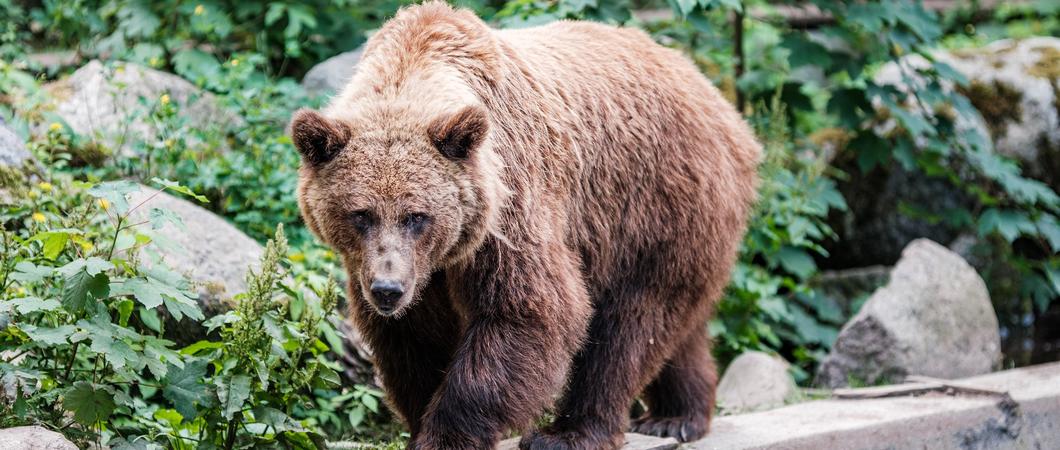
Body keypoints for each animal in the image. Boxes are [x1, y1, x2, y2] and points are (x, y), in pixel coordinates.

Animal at [294, 1, 763, 446]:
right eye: (360, 214)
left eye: (416, 216)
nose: (388, 289)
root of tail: (724, 107)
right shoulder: (409, 267)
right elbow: (413, 339)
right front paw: (421, 422)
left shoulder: (507, 211)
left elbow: (528, 311)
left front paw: (448, 434)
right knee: (676, 328)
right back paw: (677, 416)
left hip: (655, 208)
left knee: (629, 323)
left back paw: (572, 432)